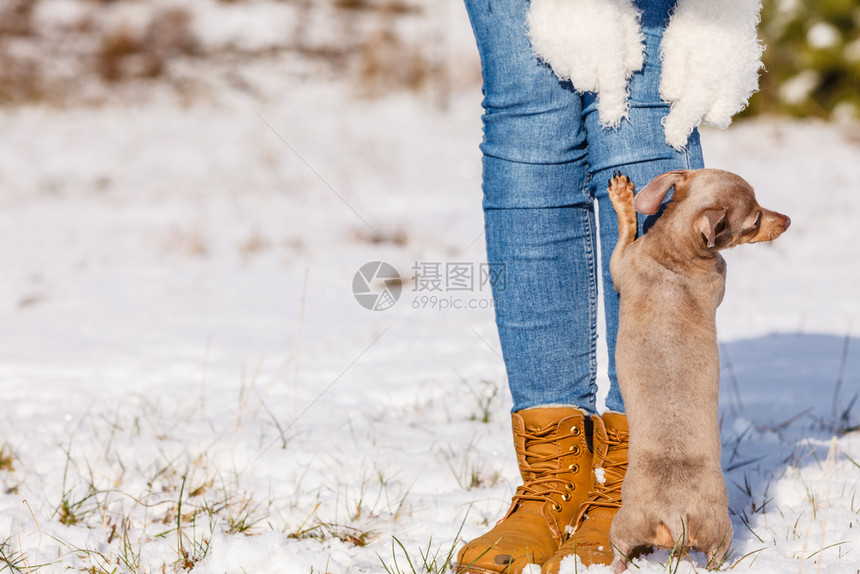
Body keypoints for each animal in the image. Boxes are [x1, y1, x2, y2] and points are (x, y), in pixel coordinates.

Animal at [604, 169, 788, 572]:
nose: (787, 220)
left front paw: (623, 200)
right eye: (755, 220)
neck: (675, 257)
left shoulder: (622, 265)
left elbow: (625, 235)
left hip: (635, 528)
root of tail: (675, 515)